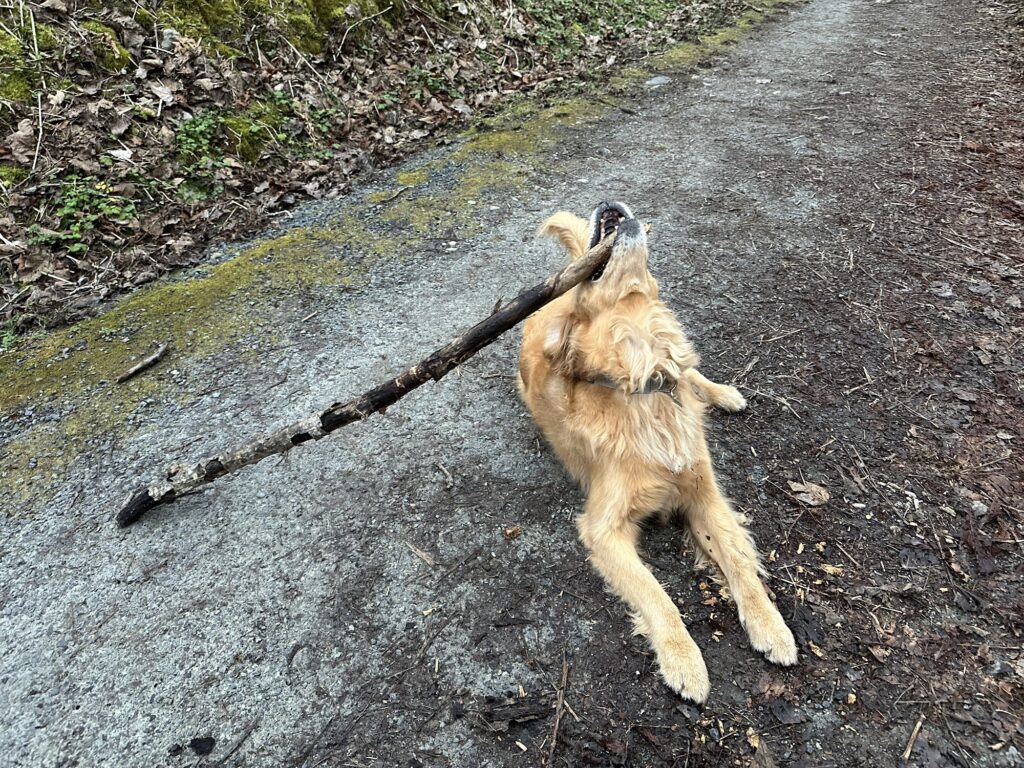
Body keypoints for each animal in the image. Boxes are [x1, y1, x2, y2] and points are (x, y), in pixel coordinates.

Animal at [516, 202, 794, 704]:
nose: (608, 203)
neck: (646, 383)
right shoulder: (602, 529)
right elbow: (656, 594)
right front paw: (684, 660)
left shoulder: (705, 492)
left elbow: (739, 561)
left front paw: (770, 625)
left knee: (694, 372)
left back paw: (725, 393)